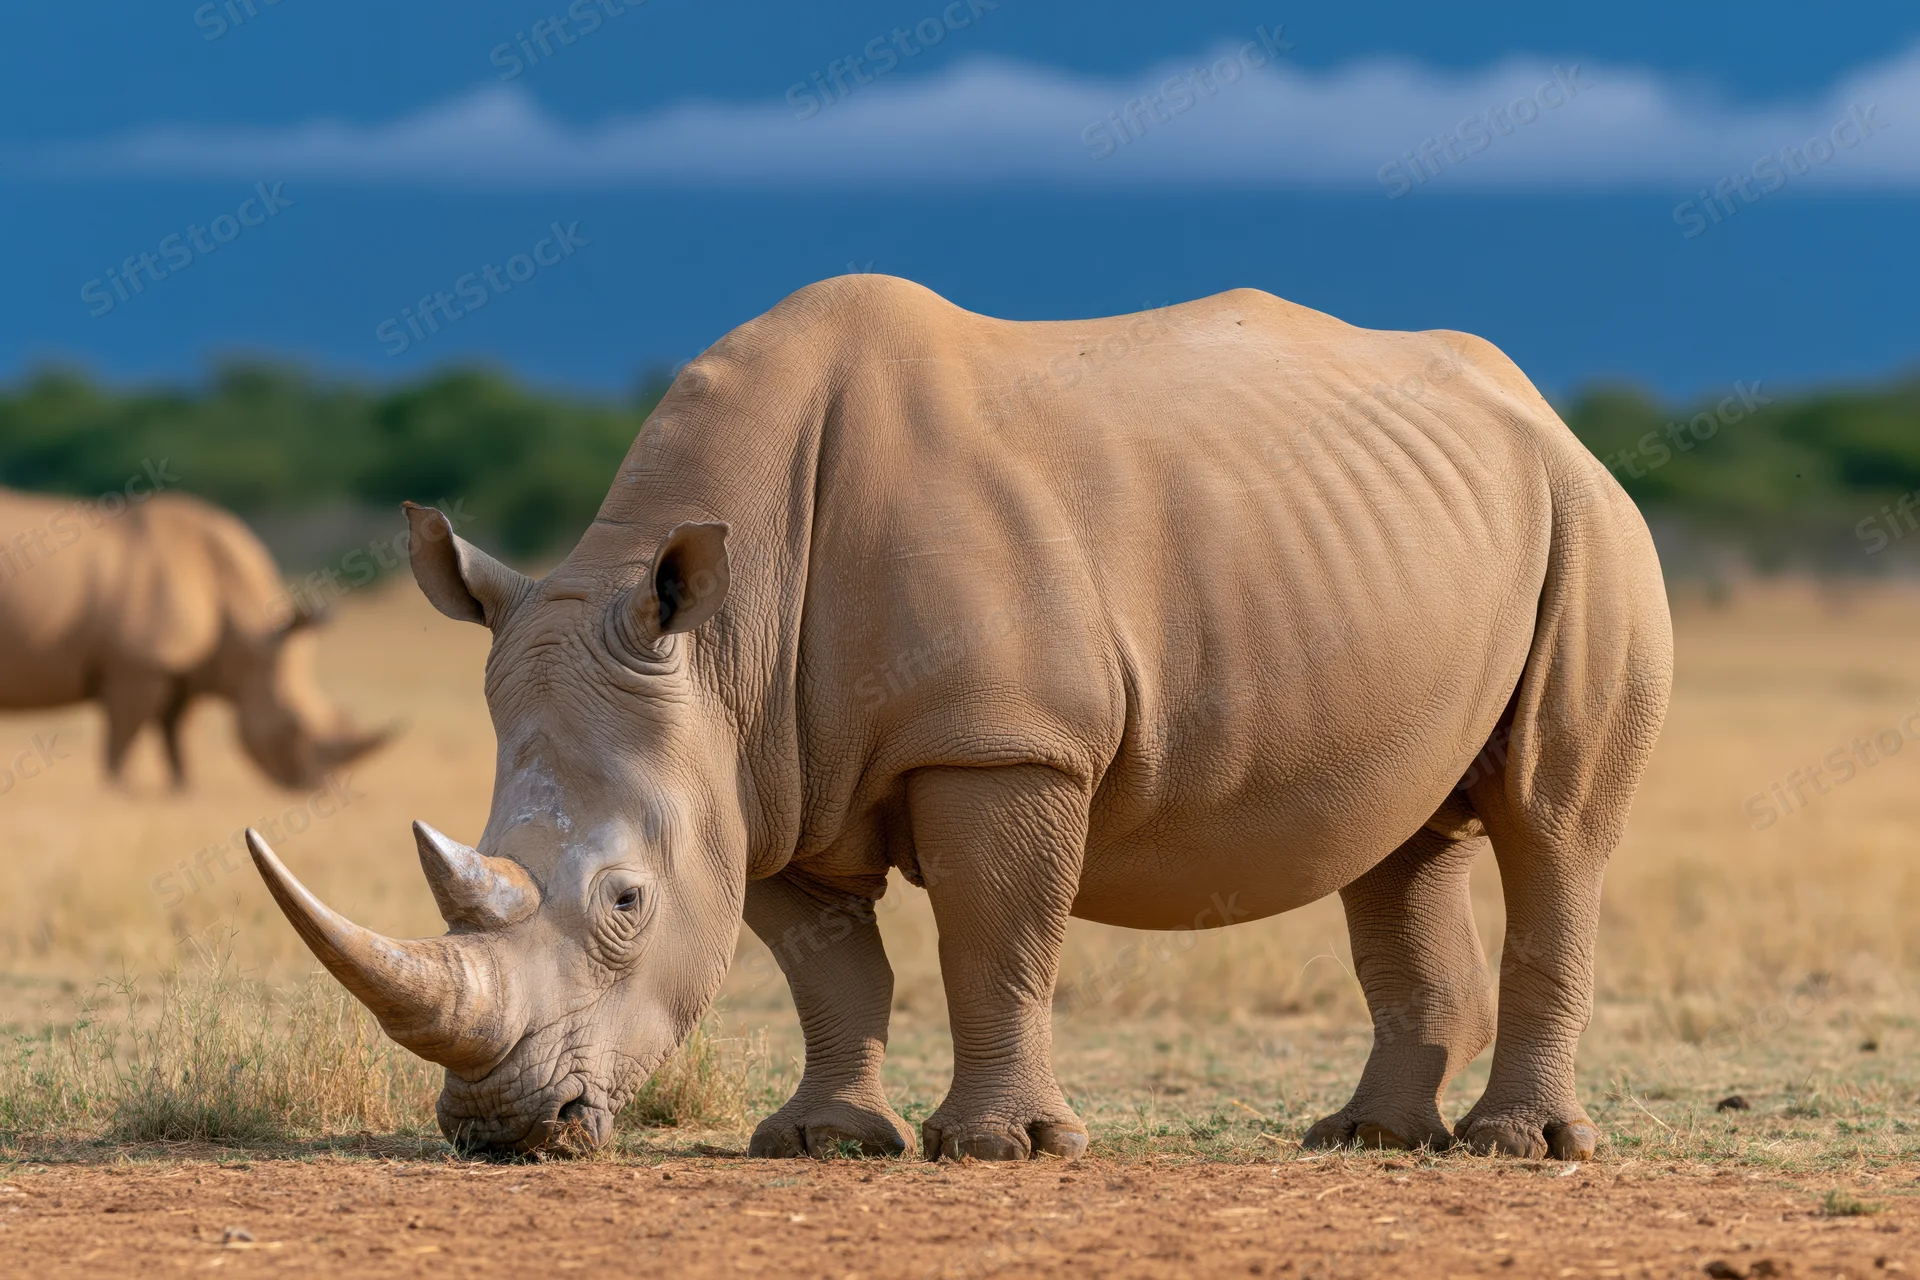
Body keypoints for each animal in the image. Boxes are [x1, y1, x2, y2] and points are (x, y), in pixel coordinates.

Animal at [0, 486, 389, 788]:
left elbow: (178, 735)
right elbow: (122, 740)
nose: (319, 786)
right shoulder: (136, 665)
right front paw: (120, 790)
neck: (251, 637)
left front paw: (183, 789)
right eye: (293, 724)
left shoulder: (185, 671)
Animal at [247, 276, 1671, 1161]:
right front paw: (822, 1140)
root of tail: (1543, 410)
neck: (725, 642)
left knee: (1552, 824)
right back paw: (1370, 1137)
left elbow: (998, 938)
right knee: (1399, 836)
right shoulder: (763, 774)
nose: (501, 1127)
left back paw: (1520, 1149)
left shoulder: (1001, 741)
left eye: (625, 902)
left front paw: (1000, 1148)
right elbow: (829, 963)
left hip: (1591, 518)